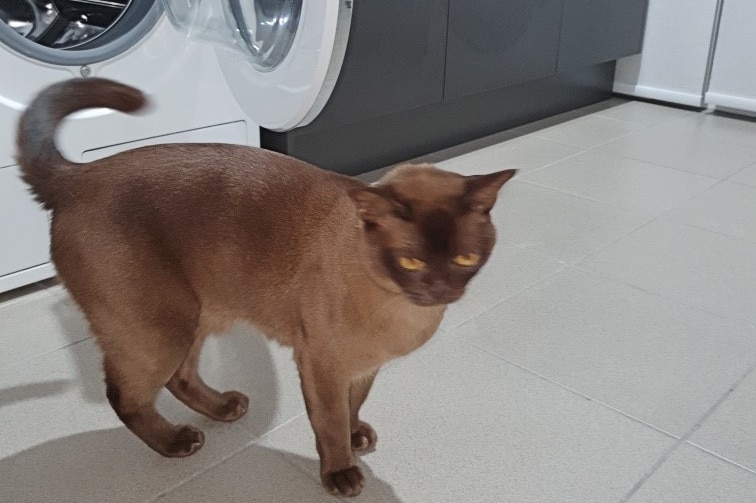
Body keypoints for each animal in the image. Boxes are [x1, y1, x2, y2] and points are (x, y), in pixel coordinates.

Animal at [17, 78, 516, 496]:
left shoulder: (361, 368)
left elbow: (352, 407)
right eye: (411, 261)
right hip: (159, 328)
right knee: (124, 396)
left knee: (179, 377)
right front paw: (341, 472)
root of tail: (79, 176)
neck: (401, 310)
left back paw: (223, 408)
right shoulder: (321, 365)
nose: (440, 291)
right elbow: (330, 423)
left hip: (194, 317)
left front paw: (357, 435)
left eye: (465, 259)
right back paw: (176, 442)